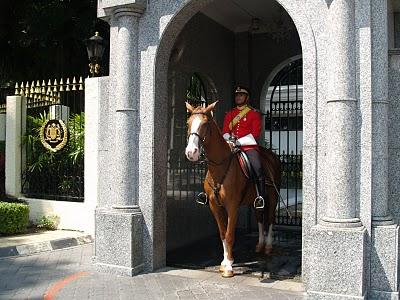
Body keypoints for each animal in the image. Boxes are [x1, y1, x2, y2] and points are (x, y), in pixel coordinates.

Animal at [184, 101, 282, 278]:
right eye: (189, 123)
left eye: (205, 124)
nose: (191, 152)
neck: (220, 167)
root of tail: (271, 156)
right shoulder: (215, 206)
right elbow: (223, 233)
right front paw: (224, 262)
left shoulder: (232, 206)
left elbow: (229, 234)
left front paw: (229, 266)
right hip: (256, 200)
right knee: (259, 217)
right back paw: (260, 244)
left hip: (272, 197)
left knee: (270, 219)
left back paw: (268, 246)